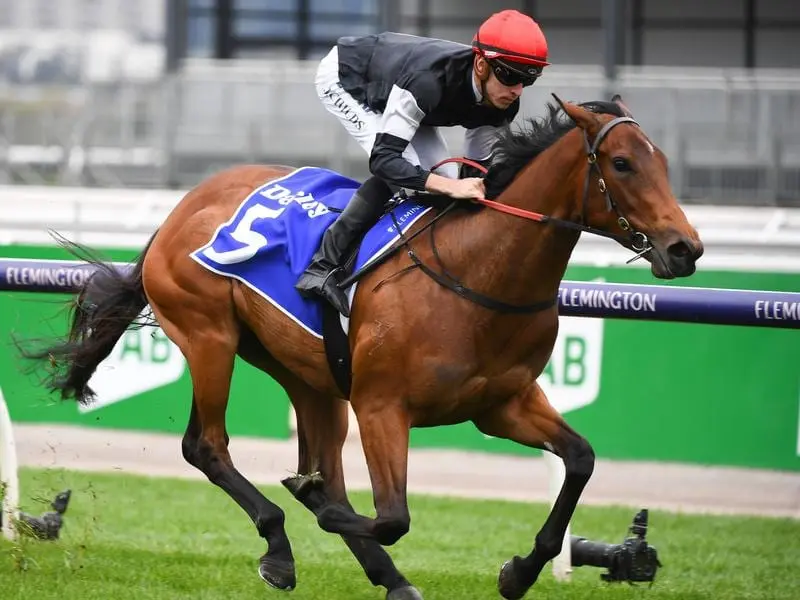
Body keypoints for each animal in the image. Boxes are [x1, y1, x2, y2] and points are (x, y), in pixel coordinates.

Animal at [21, 95, 700, 600]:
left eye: (663, 161)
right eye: (621, 163)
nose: (685, 248)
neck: (479, 270)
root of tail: (180, 207)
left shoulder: (501, 404)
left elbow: (580, 459)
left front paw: (519, 571)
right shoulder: (382, 406)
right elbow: (394, 515)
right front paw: (311, 503)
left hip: (310, 373)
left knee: (318, 462)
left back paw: (382, 572)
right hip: (209, 335)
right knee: (206, 446)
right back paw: (281, 545)